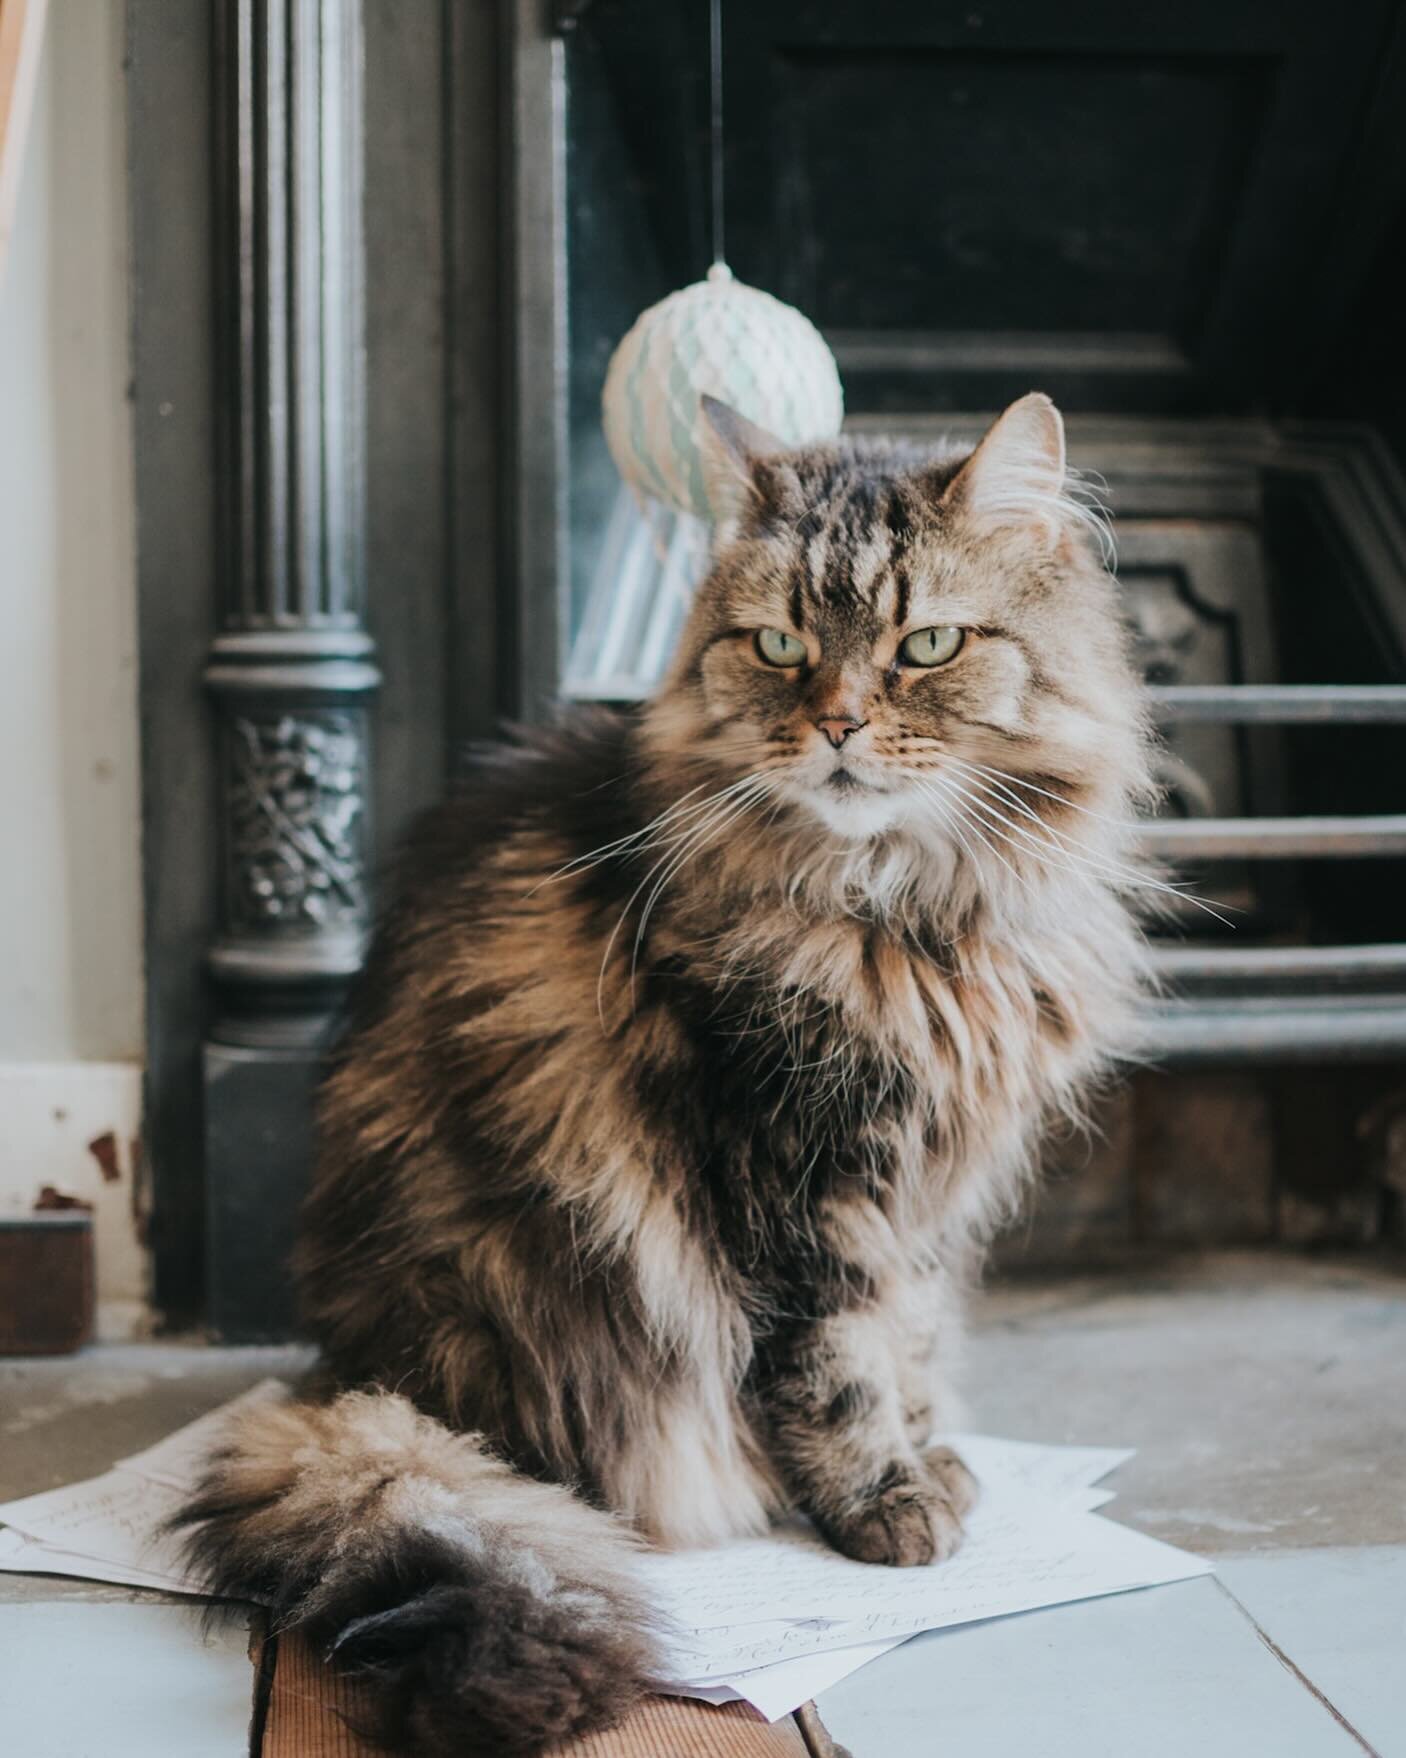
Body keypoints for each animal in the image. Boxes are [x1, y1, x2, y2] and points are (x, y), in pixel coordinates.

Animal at [173, 392, 1152, 1750]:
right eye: (781, 645)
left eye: (926, 646)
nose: (837, 723)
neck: (901, 913)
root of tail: (352, 1377)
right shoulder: (793, 1175)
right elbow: (839, 1364)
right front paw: (885, 1504)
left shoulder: (919, 1188)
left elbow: (907, 1337)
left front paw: (934, 1456)